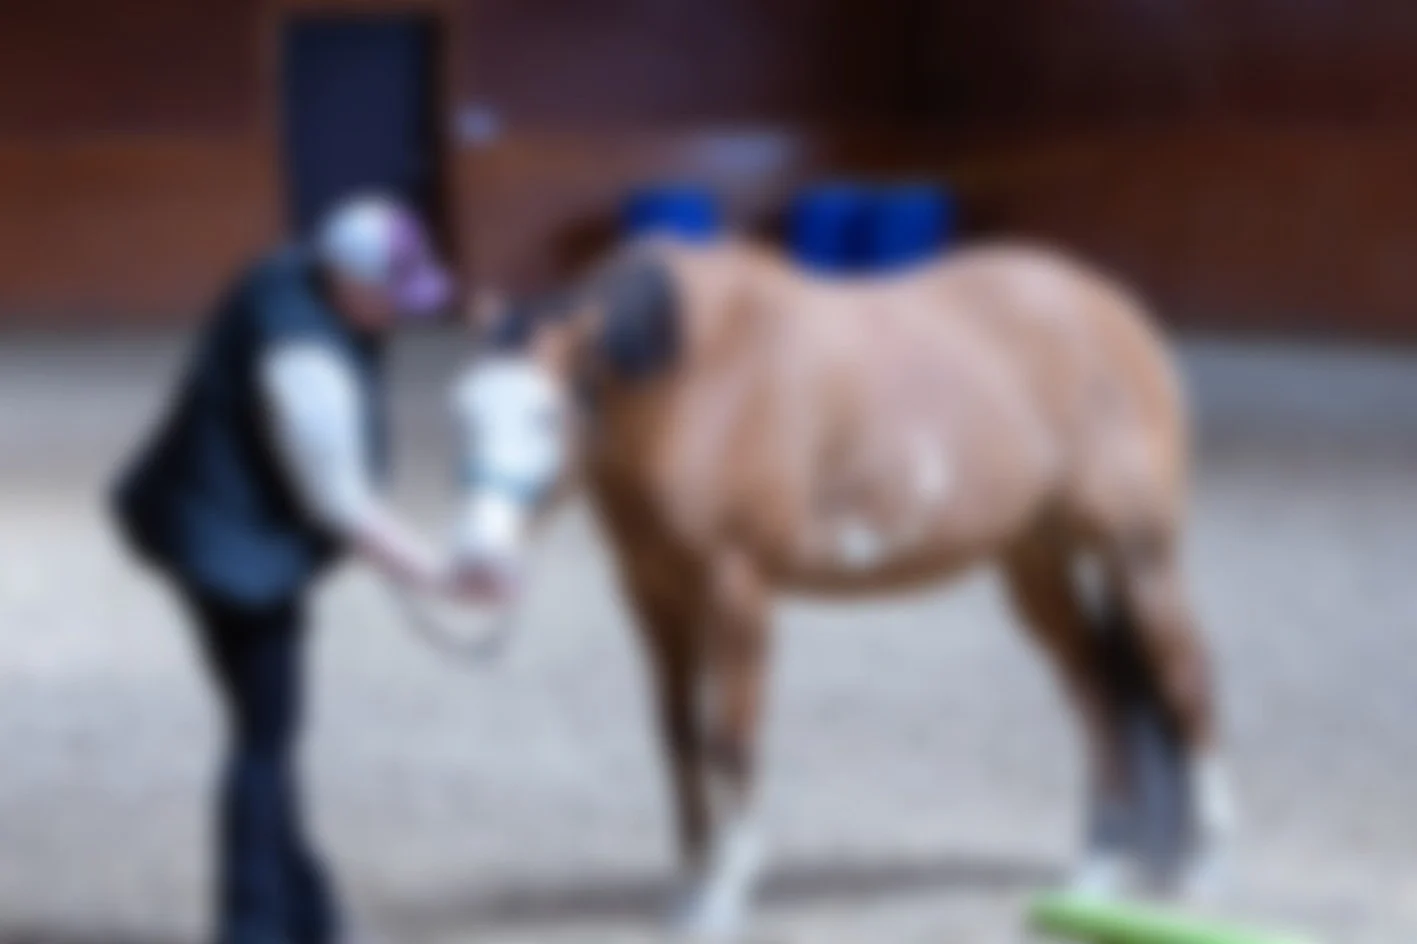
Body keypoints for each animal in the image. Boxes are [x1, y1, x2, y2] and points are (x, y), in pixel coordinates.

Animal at [447, 235, 1236, 939]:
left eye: (547, 414)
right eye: (462, 414)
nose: (476, 569)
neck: (698, 377)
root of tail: (1108, 310)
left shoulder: (736, 587)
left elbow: (729, 738)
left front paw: (723, 895)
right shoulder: (652, 593)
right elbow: (675, 735)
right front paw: (691, 879)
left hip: (1138, 554)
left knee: (1183, 679)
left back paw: (1204, 864)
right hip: (1033, 558)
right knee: (1096, 689)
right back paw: (1096, 867)